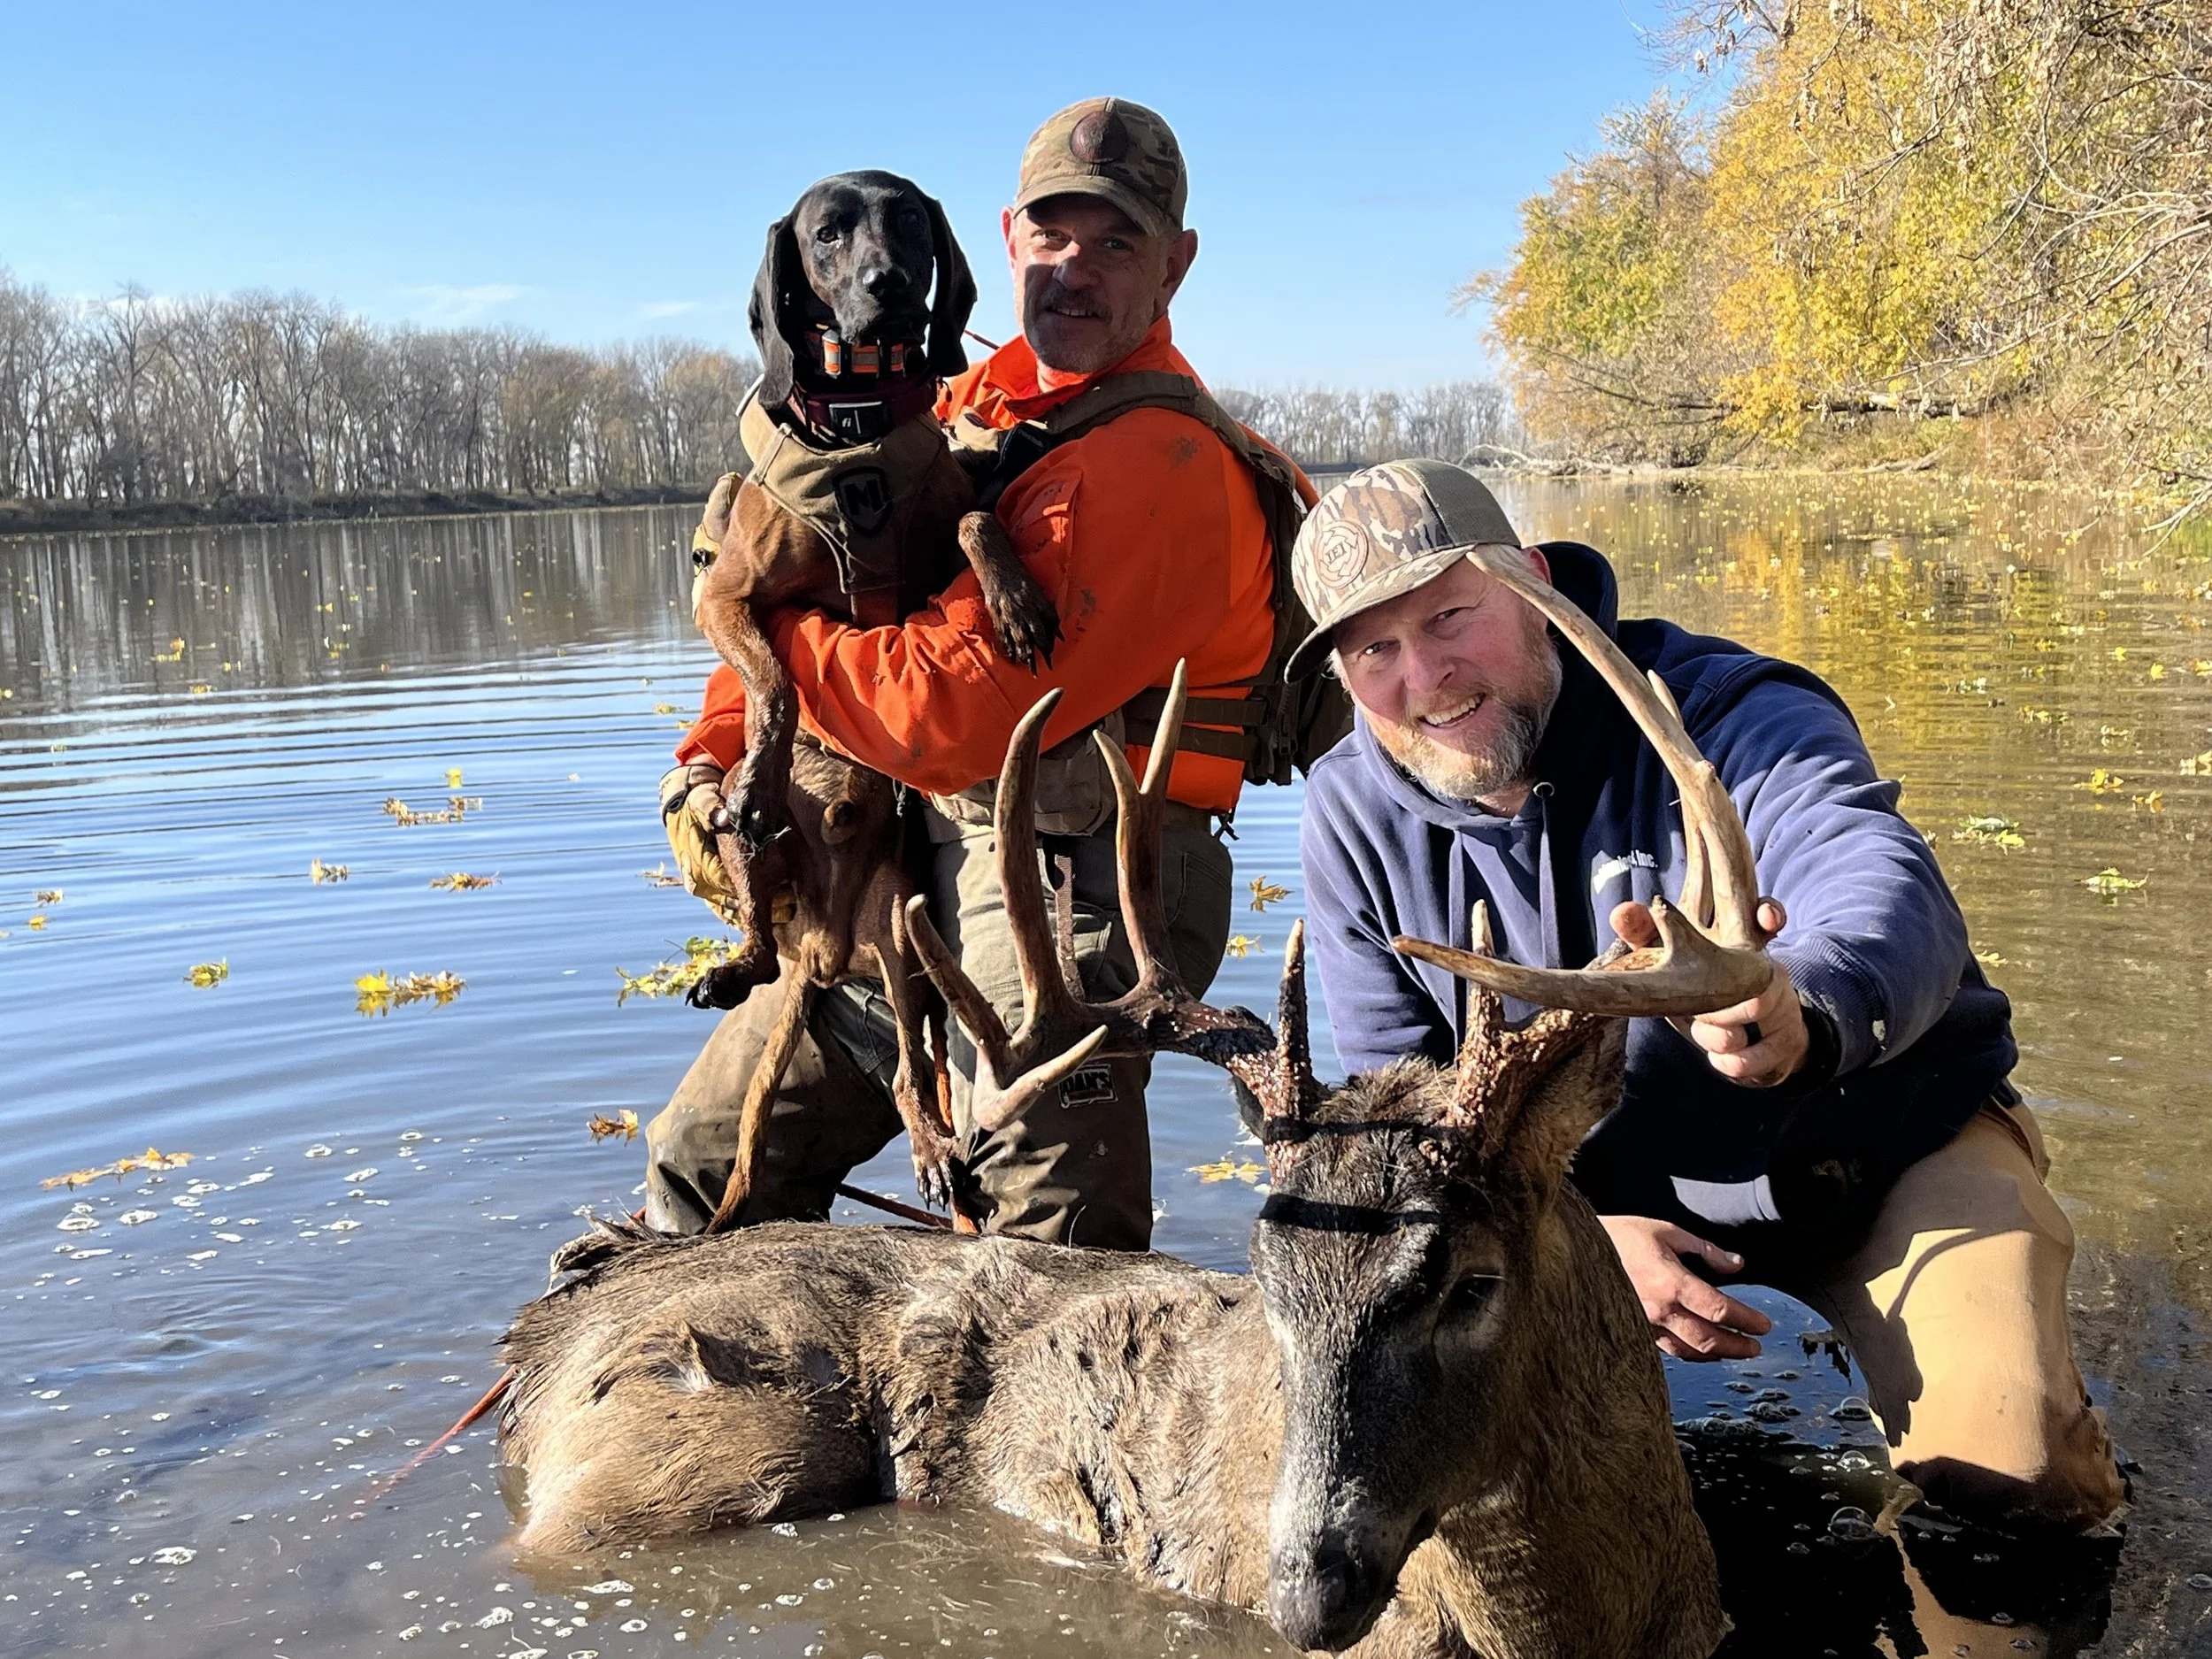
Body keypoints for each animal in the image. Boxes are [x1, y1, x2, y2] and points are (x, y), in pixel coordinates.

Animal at [502, 555, 1767, 1656]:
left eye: (1470, 1283)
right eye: (1268, 1287)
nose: (1303, 1597)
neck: (1577, 1623)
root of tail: (549, 1338)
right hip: (683, 1445)